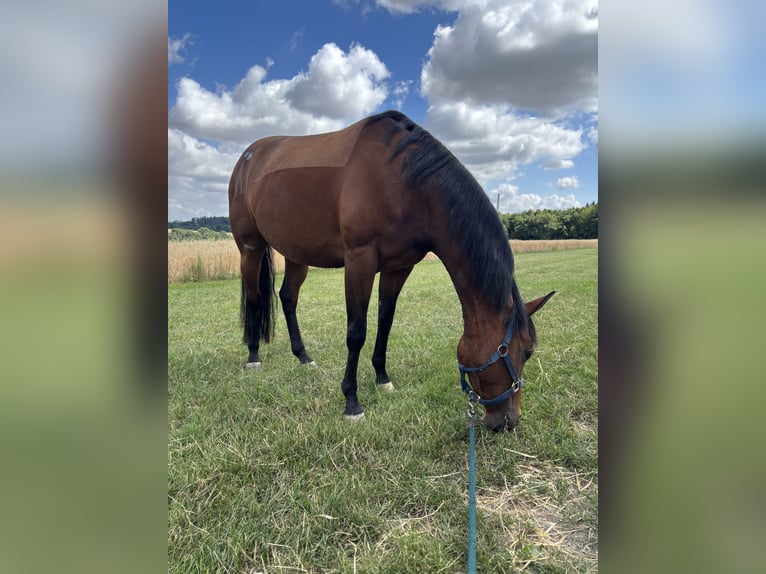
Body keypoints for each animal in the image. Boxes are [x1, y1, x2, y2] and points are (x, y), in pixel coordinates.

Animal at [228, 110, 554, 431]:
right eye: (526, 351)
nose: (508, 421)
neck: (405, 183)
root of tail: (247, 157)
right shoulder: (360, 260)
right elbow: (356, 331)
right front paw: (352, 402)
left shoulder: (399, 266)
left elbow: (385, 320)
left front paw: (382, 378)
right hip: (250, 249)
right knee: (256, 299)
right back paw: (253, 356)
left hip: (297, 253)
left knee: (288, 297)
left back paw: (303, 356)